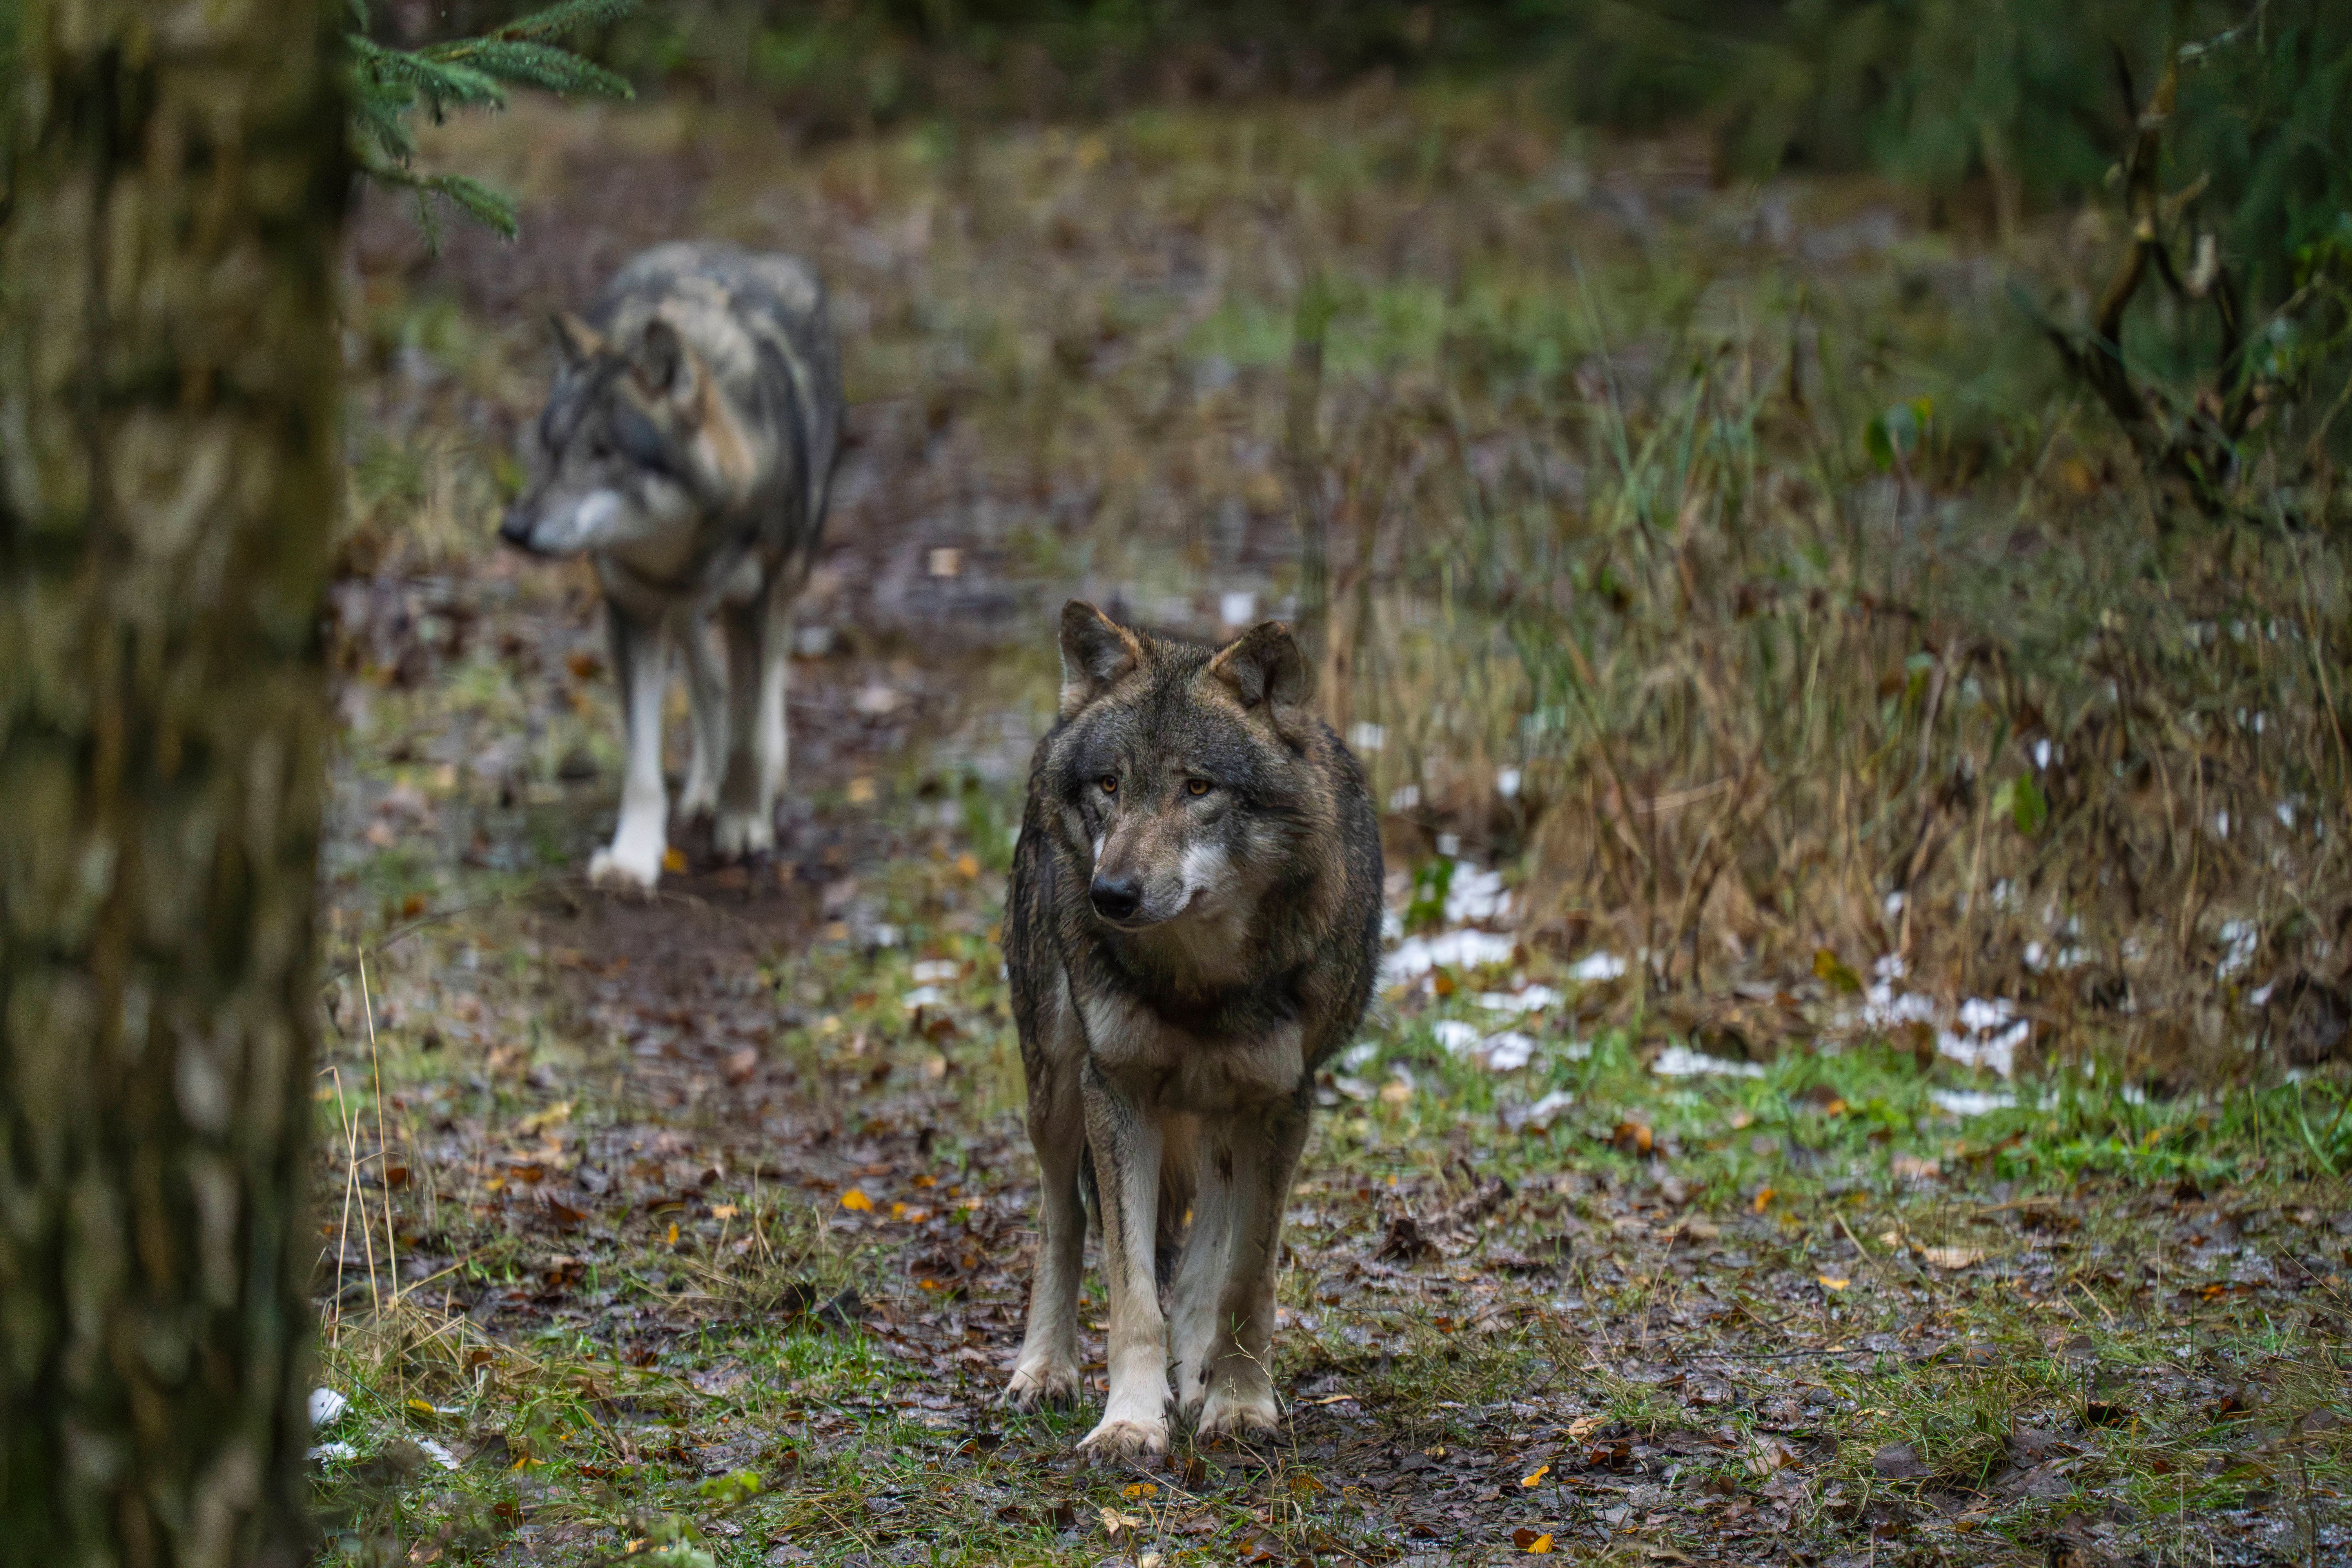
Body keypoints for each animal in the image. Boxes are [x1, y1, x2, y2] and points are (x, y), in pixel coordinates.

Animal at [501, 241, 843, 889]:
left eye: (604, 451)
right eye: (551, 447)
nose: (513, 529)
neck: (687, 539)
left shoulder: (754, 601)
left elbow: (747, 736)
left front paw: (743, 826)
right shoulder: (632, 607)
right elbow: (642, 762)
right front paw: (633, 858)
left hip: (784, 580)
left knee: (767, 683)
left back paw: (765, 776)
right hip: (679, 609)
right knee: (709, 681)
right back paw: (705, 785)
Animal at [1001, 601, 1384, 1460]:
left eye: (1197, 787)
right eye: (1111, 784)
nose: (1111, 894)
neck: (1200, 983)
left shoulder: (1281, 1103)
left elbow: (1244, 1279)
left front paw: (1239, 1406)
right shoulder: (1118, 1092)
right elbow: (1133, 1289)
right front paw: (1130, 1422)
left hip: (1221, 1117)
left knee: (1209, 1248)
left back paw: (1199, 1374)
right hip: (1054, 1084)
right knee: (1061, 1219)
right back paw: (1045, 1369)